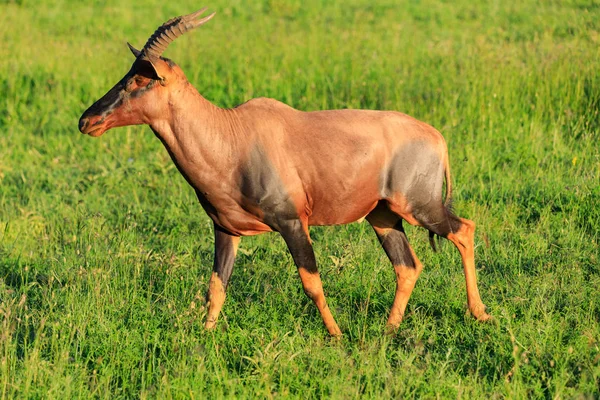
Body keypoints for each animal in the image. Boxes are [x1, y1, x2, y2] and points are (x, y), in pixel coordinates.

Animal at [79, 7, 490, 336]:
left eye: (141, 79)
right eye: (127, 74)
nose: (87, 120)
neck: (233, 135)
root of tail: (436, 137)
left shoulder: (293, 222)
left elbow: (311, 282)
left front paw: (337, 336)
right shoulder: (225, 229)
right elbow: (216, 287)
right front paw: (204, 338)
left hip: (419, 207)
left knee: (464, 230)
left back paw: (480, 314)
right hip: (383, 216)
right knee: (407, 266)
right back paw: (388, 331)